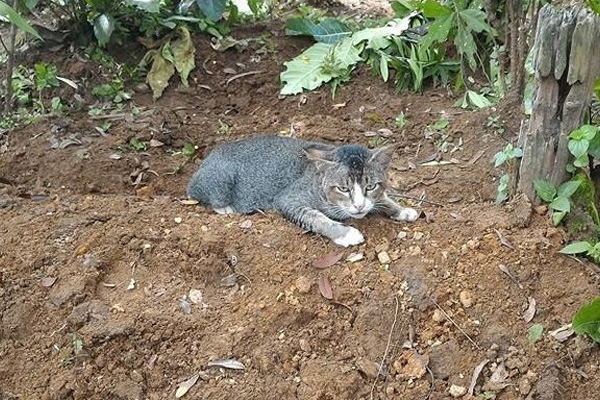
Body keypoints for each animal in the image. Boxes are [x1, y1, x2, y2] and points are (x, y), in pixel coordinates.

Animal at [186, 136, 418, 245]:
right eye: (343, 188)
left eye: (370, 186)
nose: (359, 206)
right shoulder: (287, 199)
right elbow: (317, 218)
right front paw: (345, 233)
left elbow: (383, 199)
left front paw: (401, 210)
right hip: (220, 181)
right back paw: (226, 209)